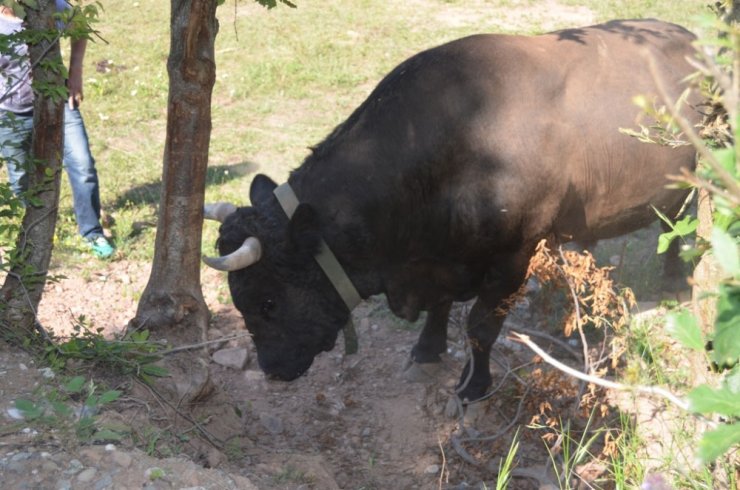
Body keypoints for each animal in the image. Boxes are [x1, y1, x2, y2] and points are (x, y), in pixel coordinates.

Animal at [204, 19, 700, 402]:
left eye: (268, 301)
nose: (271, 369)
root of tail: (688, 35)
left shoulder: (512, 257)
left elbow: (481, 326)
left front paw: (473, 385)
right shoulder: (437, 258)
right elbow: (440, 308)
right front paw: (426, 350)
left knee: (686, 228)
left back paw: (676, 283)